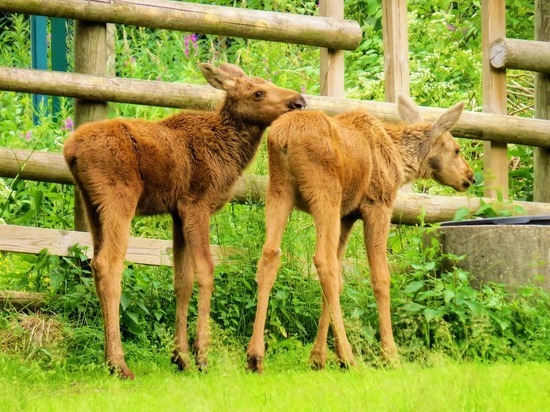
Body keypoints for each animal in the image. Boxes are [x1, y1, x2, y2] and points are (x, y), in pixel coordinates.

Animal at [65, 62, 308, 380]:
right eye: (258, 92)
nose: (299, 102)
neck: (229, 153)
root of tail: (70, 151)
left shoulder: (177, 213)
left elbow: (182, 280)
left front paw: (180, 357)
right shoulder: (196, 205)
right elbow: (206, 271)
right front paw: (202, 355)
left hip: (91, 205)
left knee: (95, 263)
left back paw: (110, 359)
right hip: (119, 200)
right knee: (109, 265)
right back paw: (120, 364)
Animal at [248, 95, 476, 372]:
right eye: (456, 149)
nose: (470, 177)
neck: (400, 162)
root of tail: (282, 138)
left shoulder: (346, 216)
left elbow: (340, 281)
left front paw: (319, 357)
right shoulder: (377, 205)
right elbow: (380, 279)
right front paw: (389, 354)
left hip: (279, 190)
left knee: (271, 255)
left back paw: (255, 355)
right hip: (325, 193)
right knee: (323, 262)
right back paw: (350, 356)